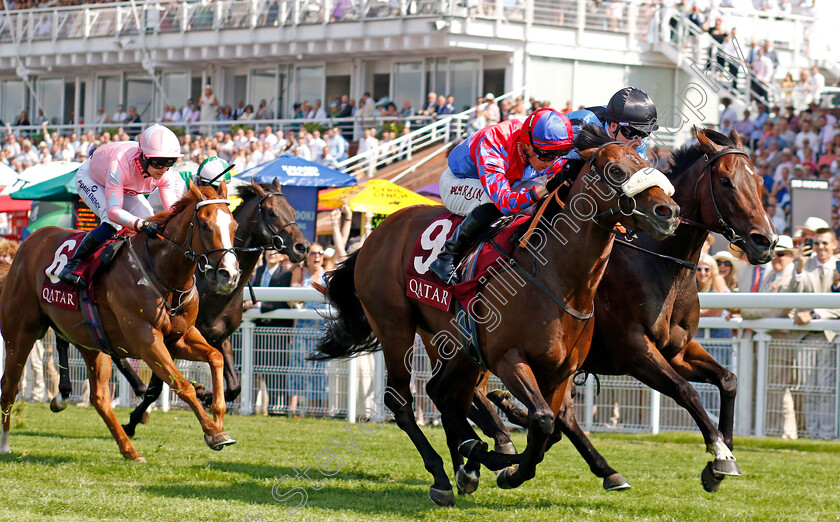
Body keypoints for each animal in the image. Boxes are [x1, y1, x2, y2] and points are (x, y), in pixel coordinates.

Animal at [1, 181, 241, 458]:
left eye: (234, 225)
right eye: (204, 225)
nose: (229, 275)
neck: (162, 272)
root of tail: (26, 245)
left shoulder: (179, 338)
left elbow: (216, 357)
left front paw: (218, 417)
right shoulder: (146, 340)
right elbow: (182, 385)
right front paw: (213, 432)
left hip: (90, 341)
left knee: (99, 398)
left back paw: (129, 451)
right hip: (20, 335)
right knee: (9, 386)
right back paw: (5, 444)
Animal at [50, 179, 312, 434]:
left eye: (291, 210)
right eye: (271, 212)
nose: (302, 247)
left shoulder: (219, 336)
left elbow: (233, 386)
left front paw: (207, 397)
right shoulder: (162, 336)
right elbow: (159, 386)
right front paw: (134, 420)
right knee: (67, 340)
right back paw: (64, 393)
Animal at [312, 124, 680, 502]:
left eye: (649, 163)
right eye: (616, 171)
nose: (668, 211)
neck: (557, 278)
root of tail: (374, 235)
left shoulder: (561, 372)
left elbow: (550, 427)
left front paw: (508, 461)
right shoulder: (508, 358)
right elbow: (543, 420)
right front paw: (508, 466)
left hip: (447, 340)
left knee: (445, 394)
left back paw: (471, 459)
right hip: (394, 326)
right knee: (401, 399)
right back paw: (447, 473)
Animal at [476, 127, 776, 492]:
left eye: (759, 180)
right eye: (725, 181)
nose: (766, 241)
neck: (660, 263)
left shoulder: (677, 349)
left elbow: (728, 380)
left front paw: (721, 460)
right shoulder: (633, 350)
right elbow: (686, 390)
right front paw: (719, 454)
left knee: (560, 416)